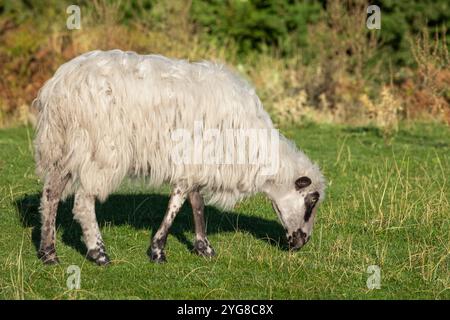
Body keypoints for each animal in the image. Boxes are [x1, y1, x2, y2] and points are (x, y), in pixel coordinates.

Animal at [33, 50, 326, 264]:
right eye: (312, 200)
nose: (302, 243)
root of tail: (59, 86)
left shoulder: (196, 162)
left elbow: (196, 203)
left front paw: (203, 248)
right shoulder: (195, 159)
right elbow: (177, 203)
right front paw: (157, 250)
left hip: (63, 147)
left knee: (50, 195)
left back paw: (49, 253)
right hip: (101, 149)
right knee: (83, 201)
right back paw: (98, 252)